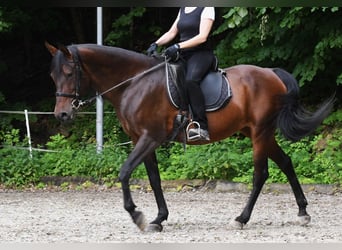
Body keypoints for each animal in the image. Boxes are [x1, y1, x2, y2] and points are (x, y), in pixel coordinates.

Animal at [44, 42, 334, 231]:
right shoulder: (141, 139)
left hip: (260, 133)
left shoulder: (150, 137)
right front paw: (159, 218)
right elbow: (154, 179)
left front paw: (137, 215)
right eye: (52, 75)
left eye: (69, 73)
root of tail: (271, 73)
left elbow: (124, 172)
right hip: (258, 132)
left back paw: (241, 218)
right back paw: (303, 212)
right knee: (285, 162)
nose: (62, 114)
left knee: (260, 174)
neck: (134, 82)